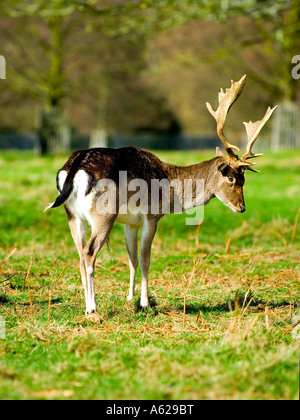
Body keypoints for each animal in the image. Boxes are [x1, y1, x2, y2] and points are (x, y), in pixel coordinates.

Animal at [45, 76, 278, 318]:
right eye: (232, 178)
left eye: (244, 179)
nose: (241, 207)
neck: (170, 185)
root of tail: (74, 168)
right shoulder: (152, 215)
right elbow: (146, 259)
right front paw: (145, 303)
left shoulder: (130, 222)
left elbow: (132, 259)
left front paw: (130, 298)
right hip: (104, 214)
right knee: (89, 253)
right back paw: (92, 309)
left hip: (72, 215)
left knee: (80, 255)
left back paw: (86, 304)